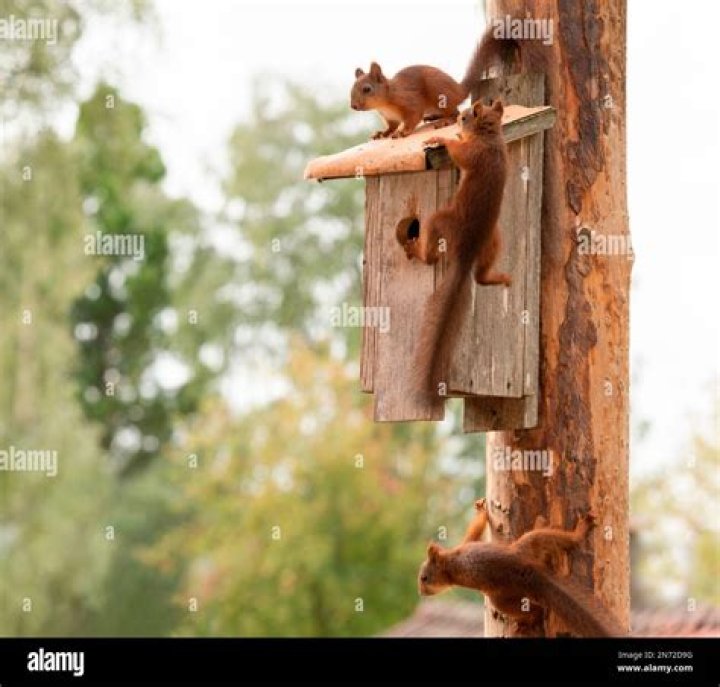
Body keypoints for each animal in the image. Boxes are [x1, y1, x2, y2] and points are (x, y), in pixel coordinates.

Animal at [350, 26, 548, 139]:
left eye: (367, 89)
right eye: (351, 90)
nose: (353, 106)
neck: (385, 101)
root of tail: (458, 89)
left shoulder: (409, 102)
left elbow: (413, 118)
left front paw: (403, 132)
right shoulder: (389, 117)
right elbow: (391, 126)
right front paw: (382, 133)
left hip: (439, 93)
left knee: (455, 112)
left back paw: (444, 121)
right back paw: (433, 117)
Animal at [399, 98, 510, 394]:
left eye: (464, 117)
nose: (457, 120)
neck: (491, 137)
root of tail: (466, 250)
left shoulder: (473, 154)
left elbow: (458, 153)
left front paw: (441, 138)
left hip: (440, 221)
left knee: (430, 256)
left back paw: (416, 250)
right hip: (495, 239)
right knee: (481, 276)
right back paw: (502, 278)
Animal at [418, 500, 626, 637]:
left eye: (424, 578)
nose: (421, 593)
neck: (450, 565)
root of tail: (528, 570)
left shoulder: (465, 546)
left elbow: (474, 531)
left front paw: (481, 509)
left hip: (525, 548)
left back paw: (577, 529)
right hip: (505, 591)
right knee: (536, 611)